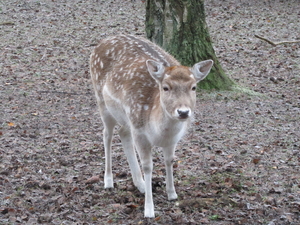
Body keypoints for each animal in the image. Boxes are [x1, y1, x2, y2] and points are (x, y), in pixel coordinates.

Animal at [89, 33, 213, 218]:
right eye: (166, 87)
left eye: (194, 87)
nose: (183, 112)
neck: (160, 133)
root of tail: (102, 41)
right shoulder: (140, 134)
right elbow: (148, 166)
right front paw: (149, 210)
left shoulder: (172, 139)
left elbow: (169, 160)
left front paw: (172, 194)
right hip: (102, 101)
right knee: (107, 135)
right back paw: (108, 181)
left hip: (127, 118)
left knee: (123, 133)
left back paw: (139, 183)